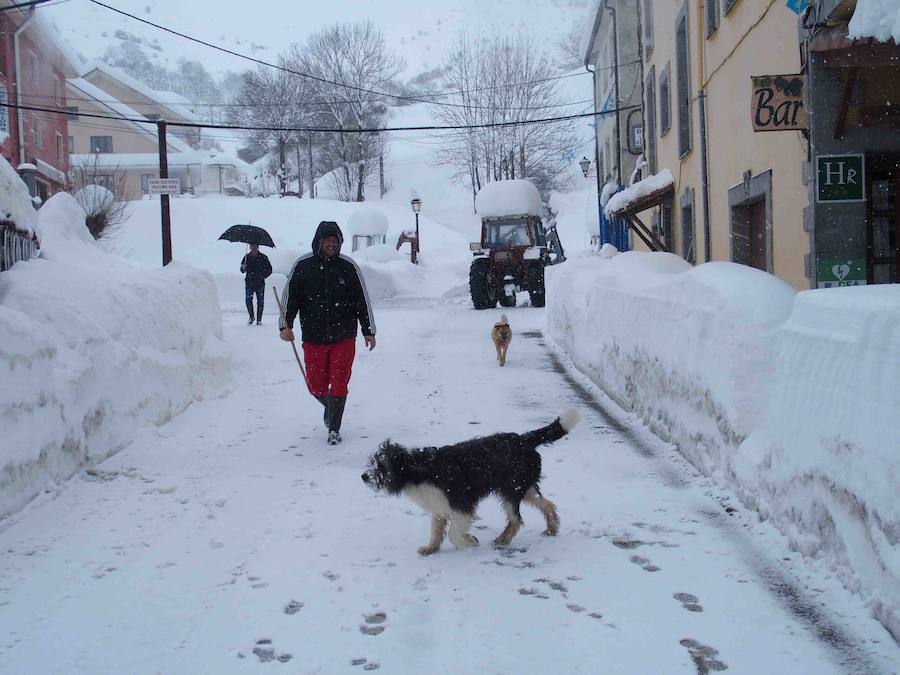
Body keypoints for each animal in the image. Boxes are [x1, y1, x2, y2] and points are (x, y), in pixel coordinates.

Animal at [362, 410, 580, 556]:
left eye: (381, 465)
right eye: (374, 462)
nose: (363, 476)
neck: (419, 469)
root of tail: (524, 439)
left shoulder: (461, 504)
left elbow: (454, 533)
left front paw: (471, 542)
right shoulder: (439, 505)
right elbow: (436, 530)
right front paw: (430, 548)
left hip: (512, 488)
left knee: (516, 519)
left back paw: (502, 540)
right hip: (524, 487)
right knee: (547, 504)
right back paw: (552, 528)